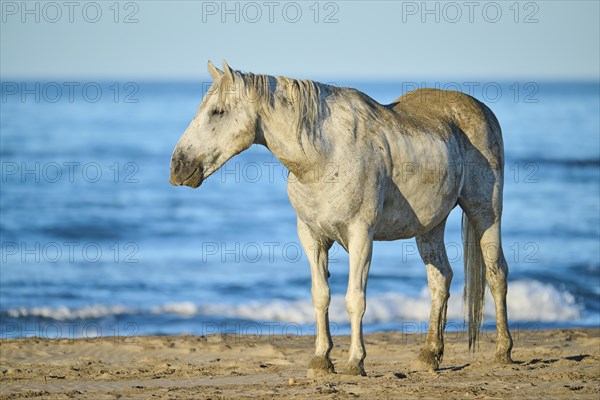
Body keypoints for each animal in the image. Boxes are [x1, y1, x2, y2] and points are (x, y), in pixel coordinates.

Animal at [171, 61, 512, 376]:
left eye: (217, 112)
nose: (178, 166)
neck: (324, 156)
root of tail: (482, 110)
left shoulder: (361, 235)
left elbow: (354, 299)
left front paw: (355, 362)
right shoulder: (312, 237)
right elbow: (321, 296)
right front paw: (321, 360)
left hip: (485, 213)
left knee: (496, 274)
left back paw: (503, 352)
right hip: (430, 227)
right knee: (440, 279)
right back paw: (430, 354)